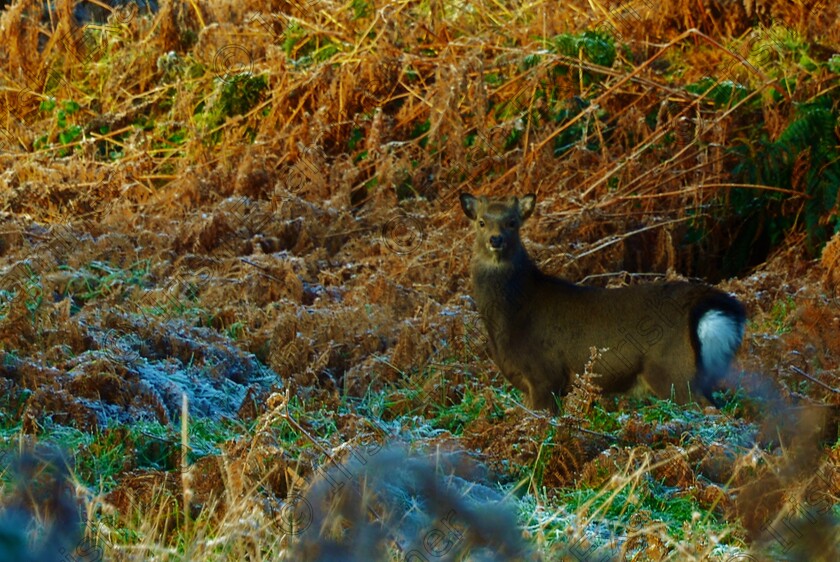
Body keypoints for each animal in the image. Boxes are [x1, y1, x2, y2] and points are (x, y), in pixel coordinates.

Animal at [460, 192, 748, 412]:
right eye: (481, 222)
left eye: (512, 222)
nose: (495, 239)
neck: (510, 316)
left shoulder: (545, 373)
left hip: (673, 369)